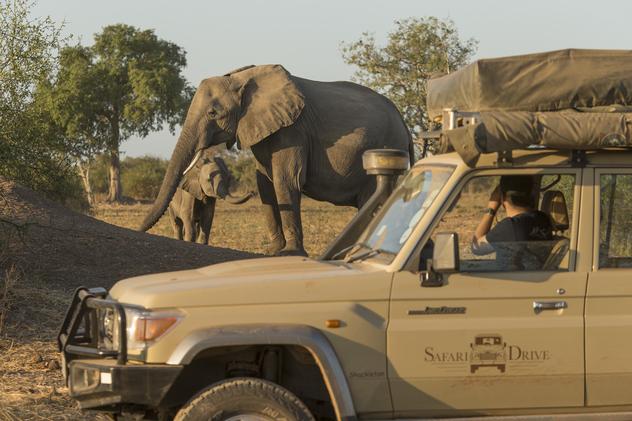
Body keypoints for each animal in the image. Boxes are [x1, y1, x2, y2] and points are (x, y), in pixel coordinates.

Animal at [140, 64, 412, 254]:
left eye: (213, 113)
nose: (139, 230)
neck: (242, 78)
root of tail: (404, 124)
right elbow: (264, 182)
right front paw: (273, 251)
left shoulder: (293, 130)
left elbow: (286, 180)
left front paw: (290, 253)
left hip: (387, 147)